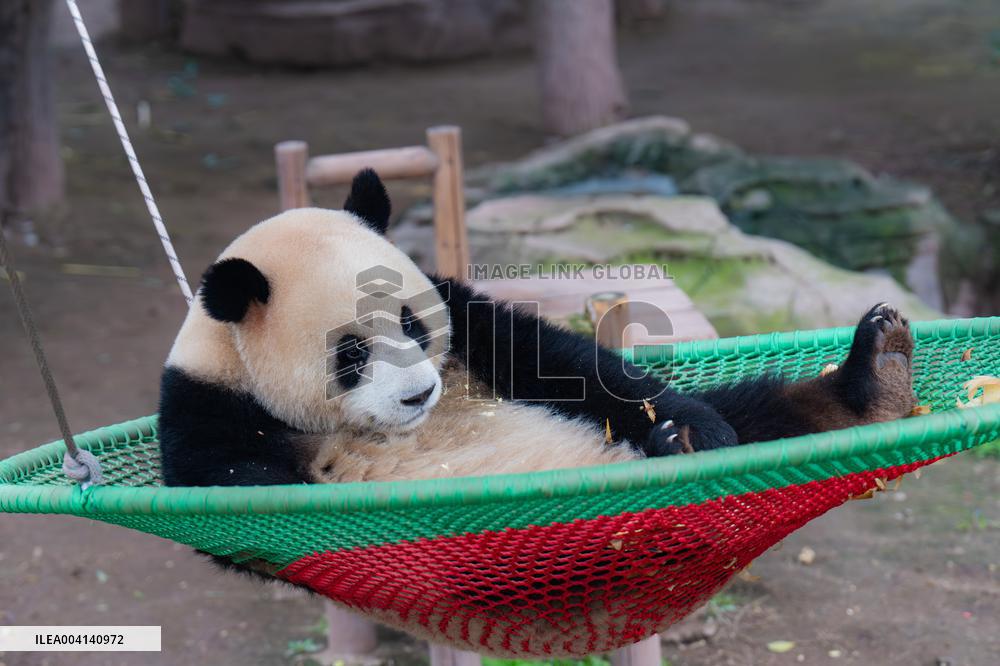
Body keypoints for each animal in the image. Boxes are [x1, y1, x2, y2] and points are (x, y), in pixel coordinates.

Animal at [159, 169, 917, 489]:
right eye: (350, 353)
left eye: (411, 322)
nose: (419, 396)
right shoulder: (206, 410)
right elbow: (240, 481)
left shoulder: (465, 318)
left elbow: (567, 365)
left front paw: (697, 426)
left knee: (763, 415)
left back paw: (873, 378)